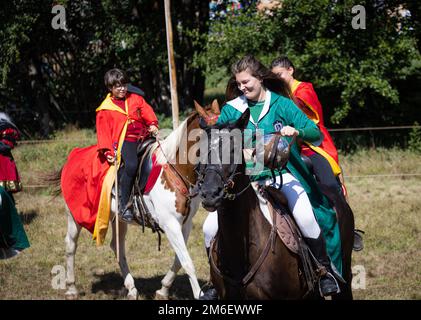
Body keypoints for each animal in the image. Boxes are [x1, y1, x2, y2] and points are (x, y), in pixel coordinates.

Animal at [60, 100, 221, 300]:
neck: (174, 169)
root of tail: (74, 155)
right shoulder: (170, 224)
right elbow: (187, 262)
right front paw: (199, 294)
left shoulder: (185, 223)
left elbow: (179, 260)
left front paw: (163, 289)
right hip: (74, 215)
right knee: (70, 245)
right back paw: (71, 287)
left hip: (119, 218)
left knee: (117, 247)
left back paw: (131, 288)